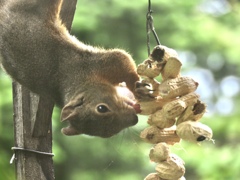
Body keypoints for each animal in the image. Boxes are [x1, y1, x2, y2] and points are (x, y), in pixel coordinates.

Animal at [0, 0, 140, 138]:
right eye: (110, 133)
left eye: (101, 108)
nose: (134, 119)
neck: (81, 82)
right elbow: (122, 59)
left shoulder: (93, 65)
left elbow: (122, 60)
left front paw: (135, 86)